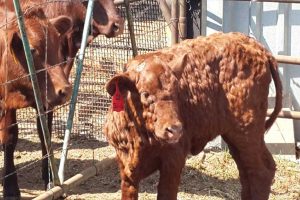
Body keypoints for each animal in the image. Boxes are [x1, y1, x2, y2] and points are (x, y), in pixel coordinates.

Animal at [0, 7, 72, 199]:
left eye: (57, 44)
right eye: (31, 49)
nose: (65, 90)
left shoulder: (44, 102)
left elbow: (44, 134)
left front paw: (50, 179)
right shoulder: (6, 102)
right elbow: (9, 138)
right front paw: (10, 188)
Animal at [104, 32, 282, 200]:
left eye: (177, 90)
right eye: (145, 94)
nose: (175, 129)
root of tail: (259, 48)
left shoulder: (174, 159)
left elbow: (166, 194)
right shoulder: (126, 168)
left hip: (247, 131)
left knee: (261, 171)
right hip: (235, 135)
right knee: (246, 171)